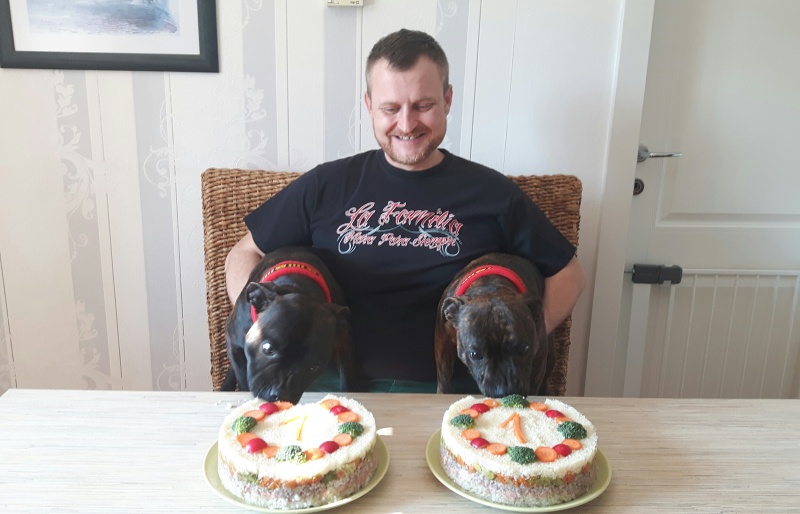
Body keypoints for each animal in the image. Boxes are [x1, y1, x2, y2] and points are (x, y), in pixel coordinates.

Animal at [222, 246, 353, 403]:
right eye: (267, 349)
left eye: (314, 367)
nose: (281, 394)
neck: (298, 287)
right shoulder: (235, 345)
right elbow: (242, 379)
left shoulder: (343, 344)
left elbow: (346, 378)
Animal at [434, 253, 554, 397]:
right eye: (474, 354)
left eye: (525, 349)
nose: (506, 391)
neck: (490, 287)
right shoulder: (442, 343)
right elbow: (444, 377)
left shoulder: (539, 357)